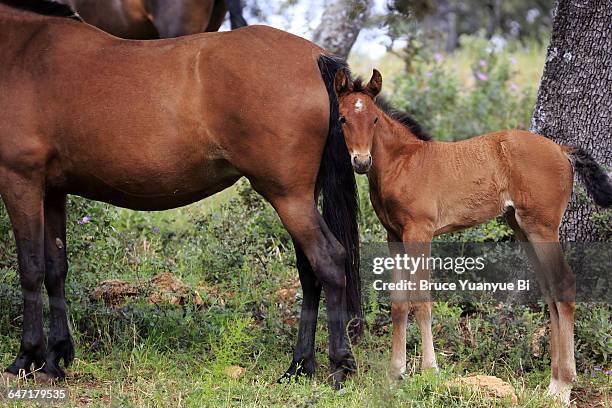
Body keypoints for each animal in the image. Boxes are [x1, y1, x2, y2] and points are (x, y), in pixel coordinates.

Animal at [0, 0, 360, 388]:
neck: (24, 53)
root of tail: (315, 58)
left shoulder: (20, 181)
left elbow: (31, 268)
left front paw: (26, 357)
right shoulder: (52, 191)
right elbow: (55, 268)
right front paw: (55, 357)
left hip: (288, 197)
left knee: (329, 261)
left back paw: (338, 365)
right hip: (300, 197)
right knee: (309, 272)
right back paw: (299, 365)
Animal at [332, 67, 612, 404]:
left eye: (374, 119)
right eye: (343, 118)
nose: (361, 162)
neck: (404, 163)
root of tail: (561, 149)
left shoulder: (419, 231)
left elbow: (421, 300)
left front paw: (430, 371)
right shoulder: (394, 236)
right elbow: (399, 304)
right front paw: (395, 374)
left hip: (542, 227)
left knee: (564, 284)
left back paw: (563, 387)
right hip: (522, 227)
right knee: (550, 291)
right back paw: (553, 382)